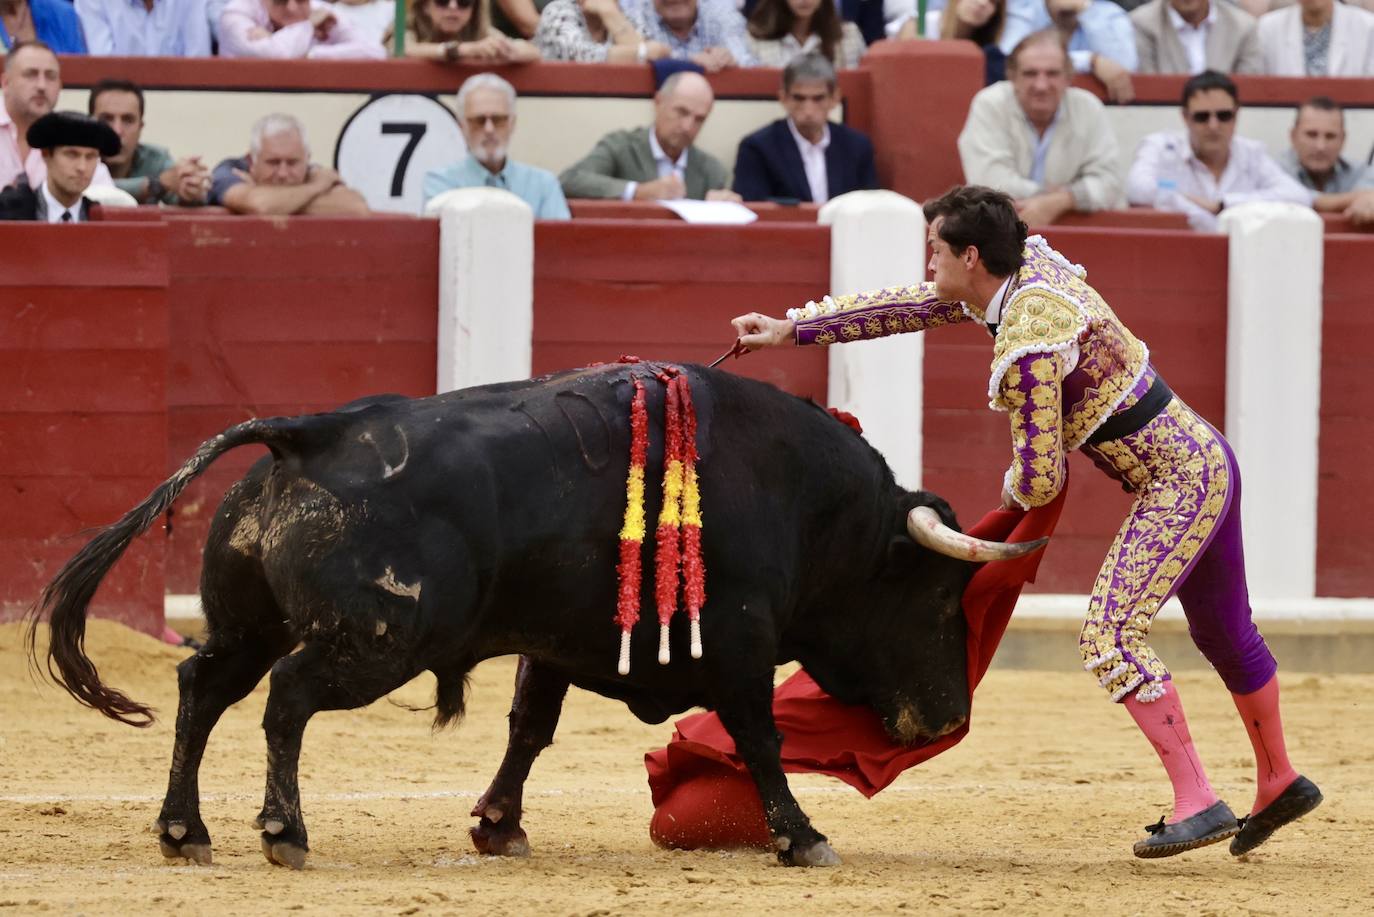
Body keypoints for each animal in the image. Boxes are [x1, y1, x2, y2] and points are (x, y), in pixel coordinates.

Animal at [24, 362, 1038, 868]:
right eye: (937, 596)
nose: (947, 717)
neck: (806, 502)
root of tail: (309, 434)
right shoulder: (741, 643)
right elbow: (759, 735)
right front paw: (803, 835)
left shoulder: (555, 642)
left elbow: (528, 729)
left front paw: (498, 825)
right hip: (374, 641)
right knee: (286, 699)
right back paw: (284, 832)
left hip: (249, 624)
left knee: (202, 686)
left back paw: (183, 831)